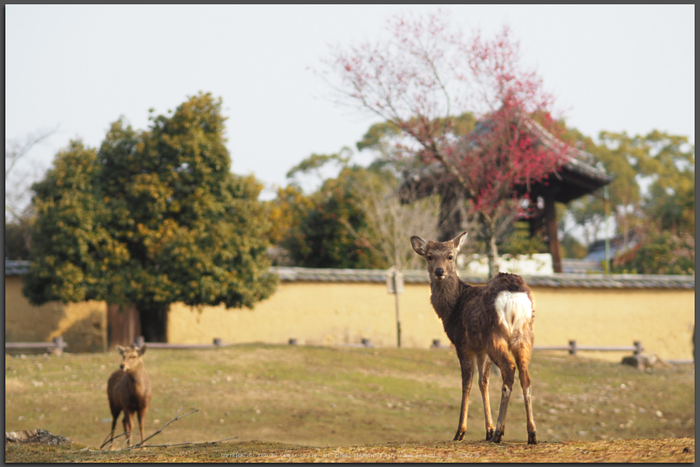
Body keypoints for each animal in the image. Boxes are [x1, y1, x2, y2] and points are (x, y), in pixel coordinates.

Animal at [410, 232, 536, 444]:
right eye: (429, 256)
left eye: (450, 256)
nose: (439, 271)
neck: (451, 309)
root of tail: (513, 294)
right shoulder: (481, 350)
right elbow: (483, 383)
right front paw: (487, 430)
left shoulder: (463, 344)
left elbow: (466, 383)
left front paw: (461, 431)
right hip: (524, 335)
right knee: (525, 376)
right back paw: (531, 433)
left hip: (494, 334)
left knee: (509, 369)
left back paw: (499, 433)